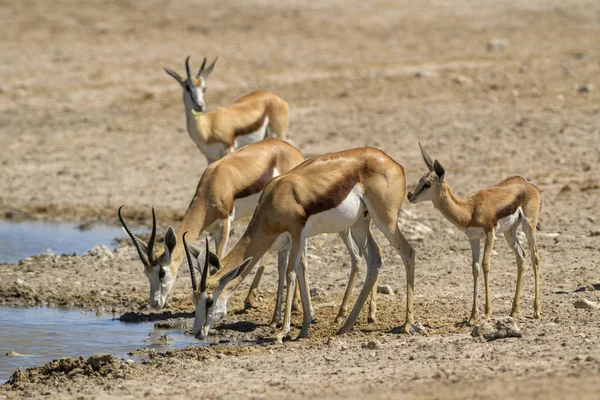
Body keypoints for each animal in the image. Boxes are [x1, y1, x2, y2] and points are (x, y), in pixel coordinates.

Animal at [184, 148, 418, 342]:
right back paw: (345, 326)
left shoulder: (296, 235)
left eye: (208, 301)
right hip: (360, 224)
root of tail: (394, 163)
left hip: (385, 221)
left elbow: (291, 274)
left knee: (408, 252)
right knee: (374, 259)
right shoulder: (297, 240)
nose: (197, 333)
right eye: (194, 301)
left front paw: (282, 332)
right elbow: (302, 271)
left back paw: (407, 325)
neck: (276, 197)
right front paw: (304, 328)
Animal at [408, 142, 544, 324]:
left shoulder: (489, 233)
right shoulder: (473, 238)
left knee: (534, 257)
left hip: (528, 225)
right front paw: (473, 315)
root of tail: (528, 184)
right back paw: (514, 311)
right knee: (521, 256)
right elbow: (475, 268)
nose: (410, 196)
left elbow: (486, 265)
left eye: (427, 184)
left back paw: (536, 311)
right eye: (419, 180)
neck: (469, 210)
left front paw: (487, 312)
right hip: (509, 232)